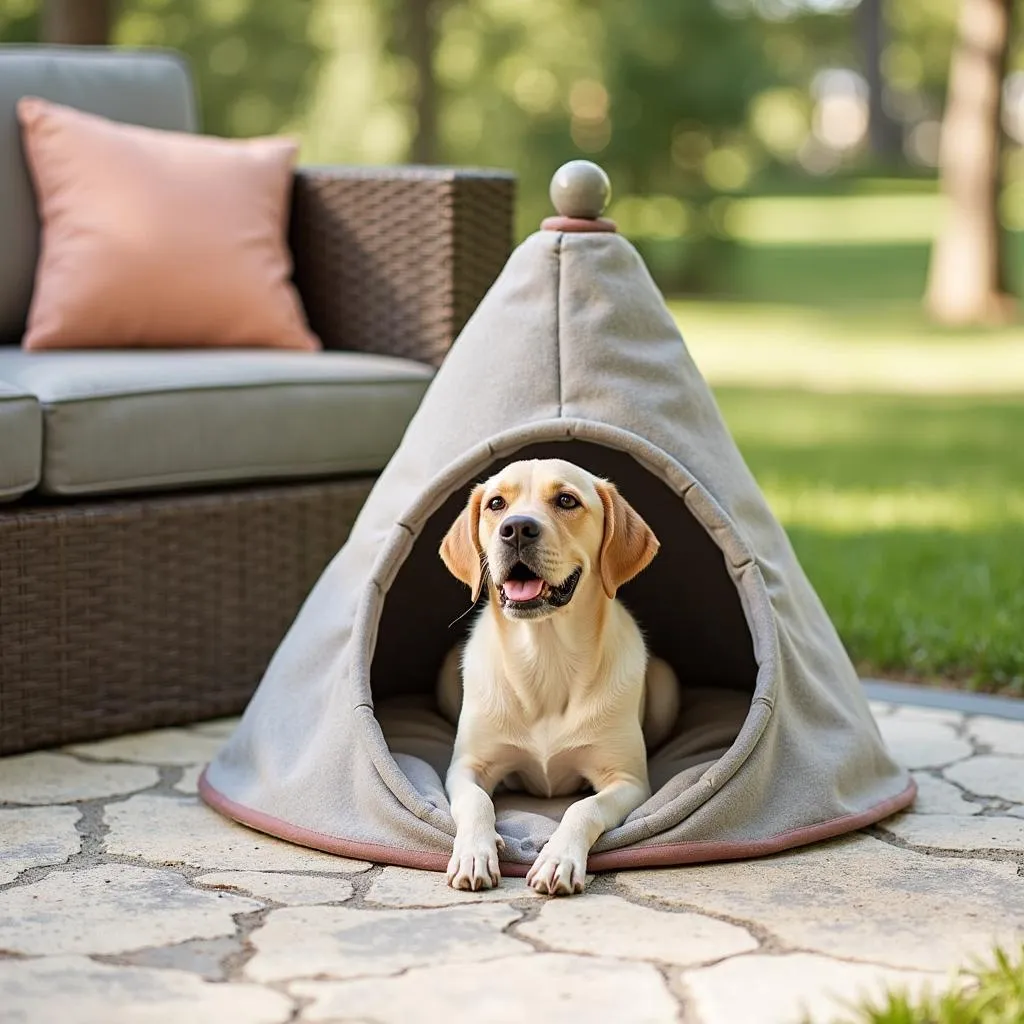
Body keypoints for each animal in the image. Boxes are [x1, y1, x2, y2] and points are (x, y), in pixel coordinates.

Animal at [434, 460, 679, 892]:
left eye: (566, 500)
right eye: (496, 503)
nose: (516, 528)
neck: (545, 658)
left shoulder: (628, 780)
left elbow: (583, 808)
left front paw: (558, 858)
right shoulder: (466, 766)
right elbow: (478, 801)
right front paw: (474, 853)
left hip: (666, 686)